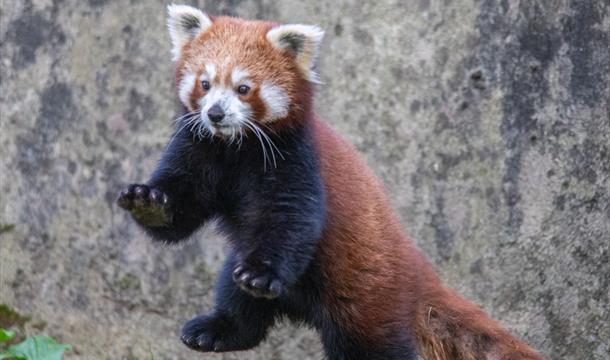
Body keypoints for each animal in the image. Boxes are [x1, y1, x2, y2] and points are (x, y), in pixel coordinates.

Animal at [116, 3, 544, 360]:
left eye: (243, 88)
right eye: (204, 84)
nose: (216, 114)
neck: (235, 150)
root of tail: (419, 270)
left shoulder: (297, 161)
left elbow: (290, 220)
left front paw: (261, 273)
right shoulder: (197, 148)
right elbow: (182, 207)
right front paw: (148, 202)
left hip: (367, 299)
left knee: (373, 347)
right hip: (243, 261)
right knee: (237, 297)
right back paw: (218, 329)